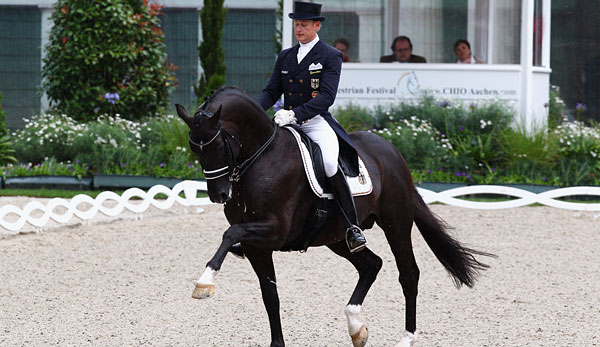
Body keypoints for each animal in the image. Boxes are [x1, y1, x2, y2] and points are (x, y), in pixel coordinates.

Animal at [175, 85, 492, 346]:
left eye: (219, 144)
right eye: (194, 147)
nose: (219, 195)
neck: (261, 160)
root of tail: (391, 151)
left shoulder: (274, 230)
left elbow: (230, 234)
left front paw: (204, 282)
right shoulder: (258, 247)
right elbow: (270, 296)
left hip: (397, 224)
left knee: (408, 274)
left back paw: (406, 338)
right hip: (338, 237)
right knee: (371, 265)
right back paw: (357, 328)